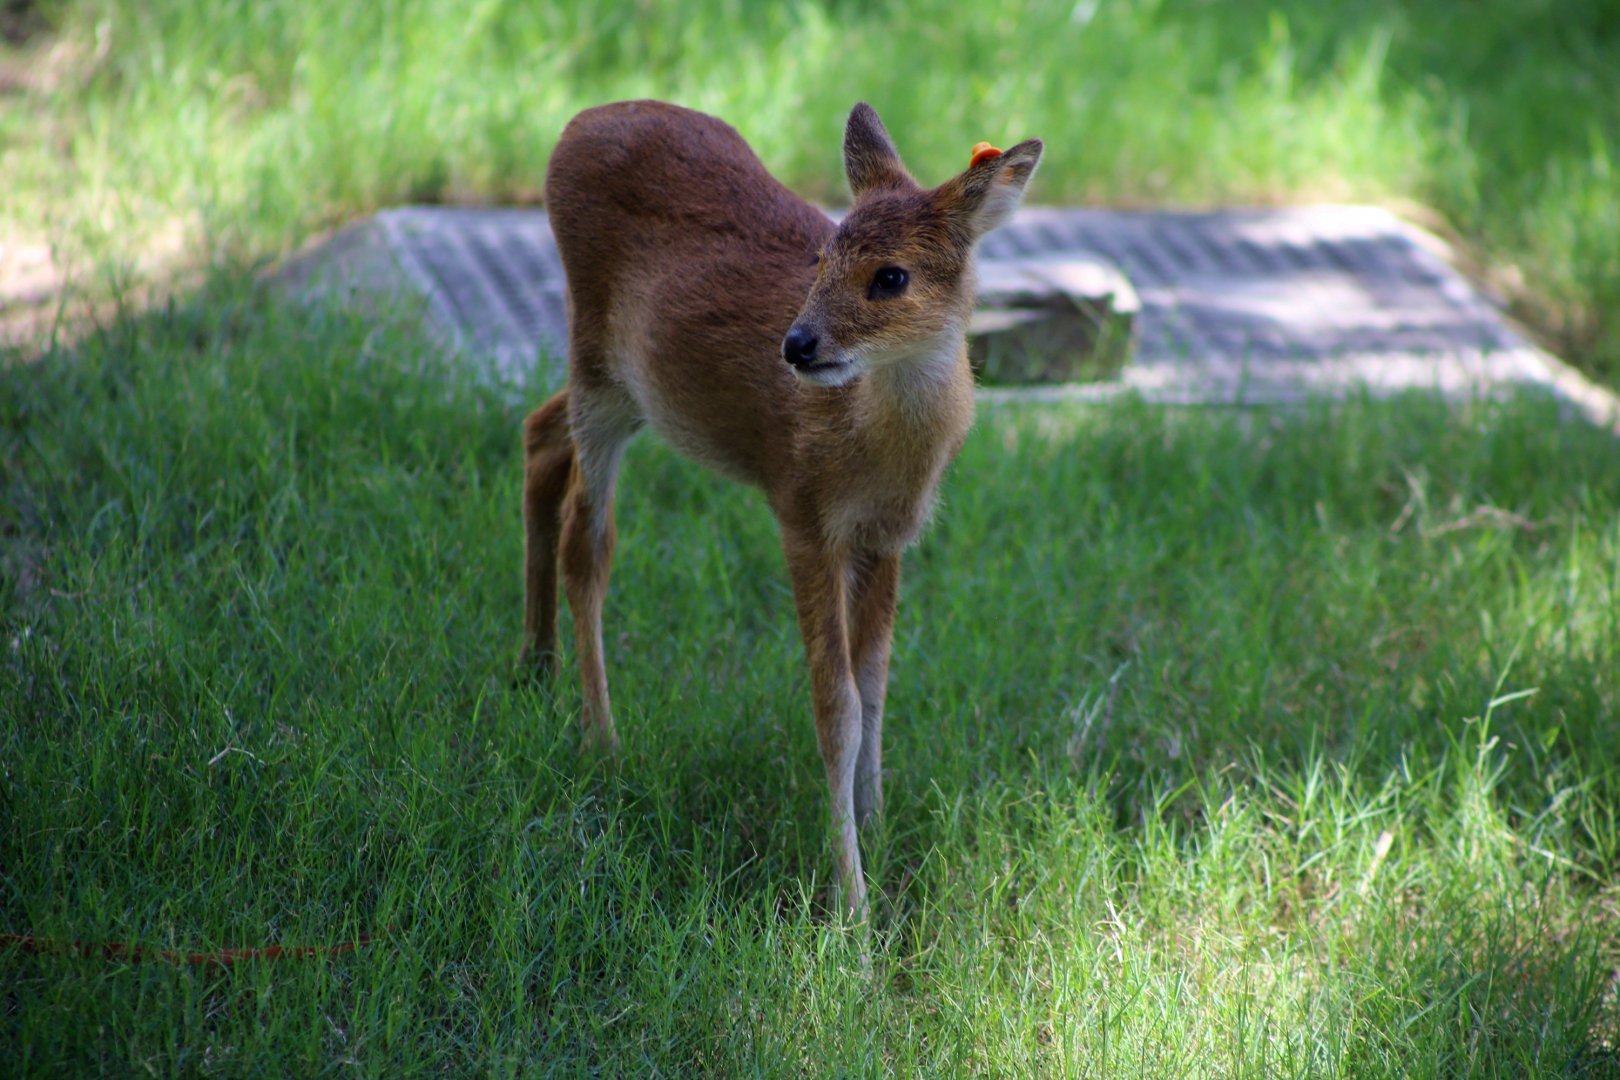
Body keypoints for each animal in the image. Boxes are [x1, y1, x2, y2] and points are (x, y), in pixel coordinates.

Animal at [522, 99, 1042, 915]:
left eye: (891, 276)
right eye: (821, 259)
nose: (797, 345)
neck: (875, 447)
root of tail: (579, 121)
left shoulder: (888, 537)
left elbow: (876, 690)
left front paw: (879, 829)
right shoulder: (801, 513)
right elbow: (837, 709)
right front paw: (852, 907)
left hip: (635, 389)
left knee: (538, 433)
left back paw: (536, 667)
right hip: (596, 357)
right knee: (590, 541)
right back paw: (601, 741)